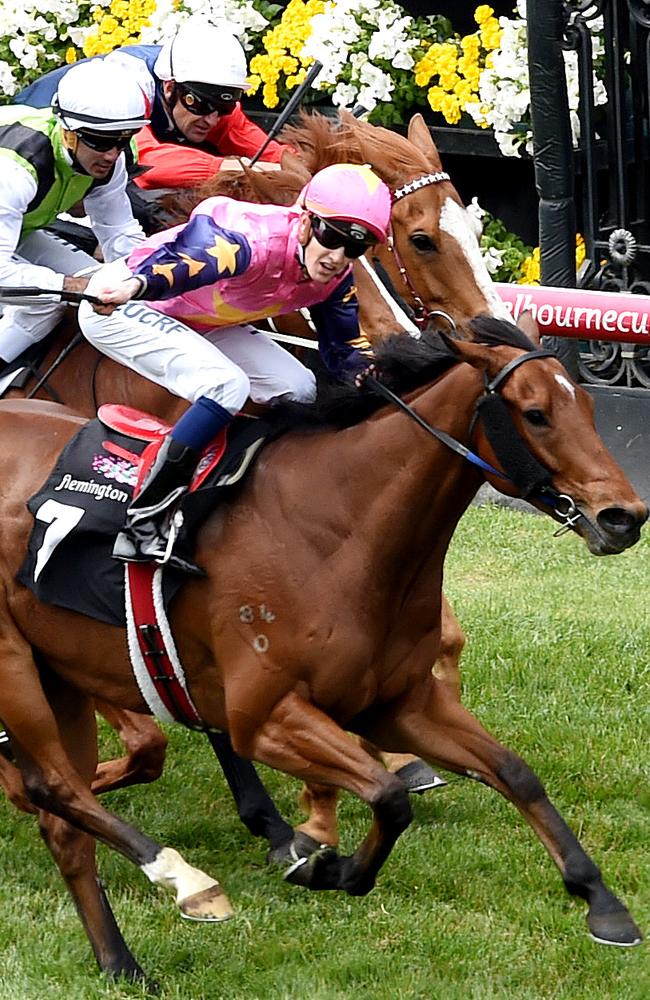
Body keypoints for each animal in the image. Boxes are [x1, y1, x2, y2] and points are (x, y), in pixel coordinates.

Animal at [0, 316, 644, 980]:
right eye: (535, 414)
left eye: (589, 407)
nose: (624, 516)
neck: (336, 530)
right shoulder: (264, 717)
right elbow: (388, 797)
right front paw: (326, 864)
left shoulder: (400, 705)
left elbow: (515, 773)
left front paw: (603, 903)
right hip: (14, 664)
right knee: (54, 788)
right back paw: (186, 880)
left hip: (61, 674)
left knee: (63, 823)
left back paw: (121, 962)